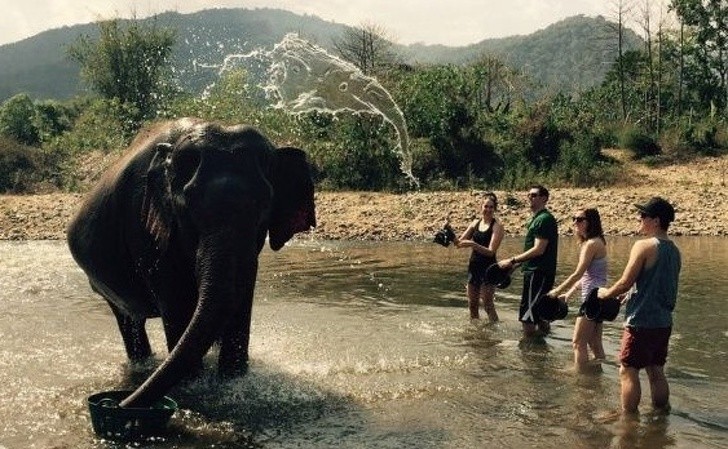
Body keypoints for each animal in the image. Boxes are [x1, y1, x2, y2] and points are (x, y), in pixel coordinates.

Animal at [68, 117, 316, 408]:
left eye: (264, 208)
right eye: (188, 211)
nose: (119, 404)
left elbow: (239, 300)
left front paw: (233, 381)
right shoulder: (145, 226)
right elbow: (177, 302)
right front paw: (194, 385)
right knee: (129, 322)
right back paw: (143, 366)